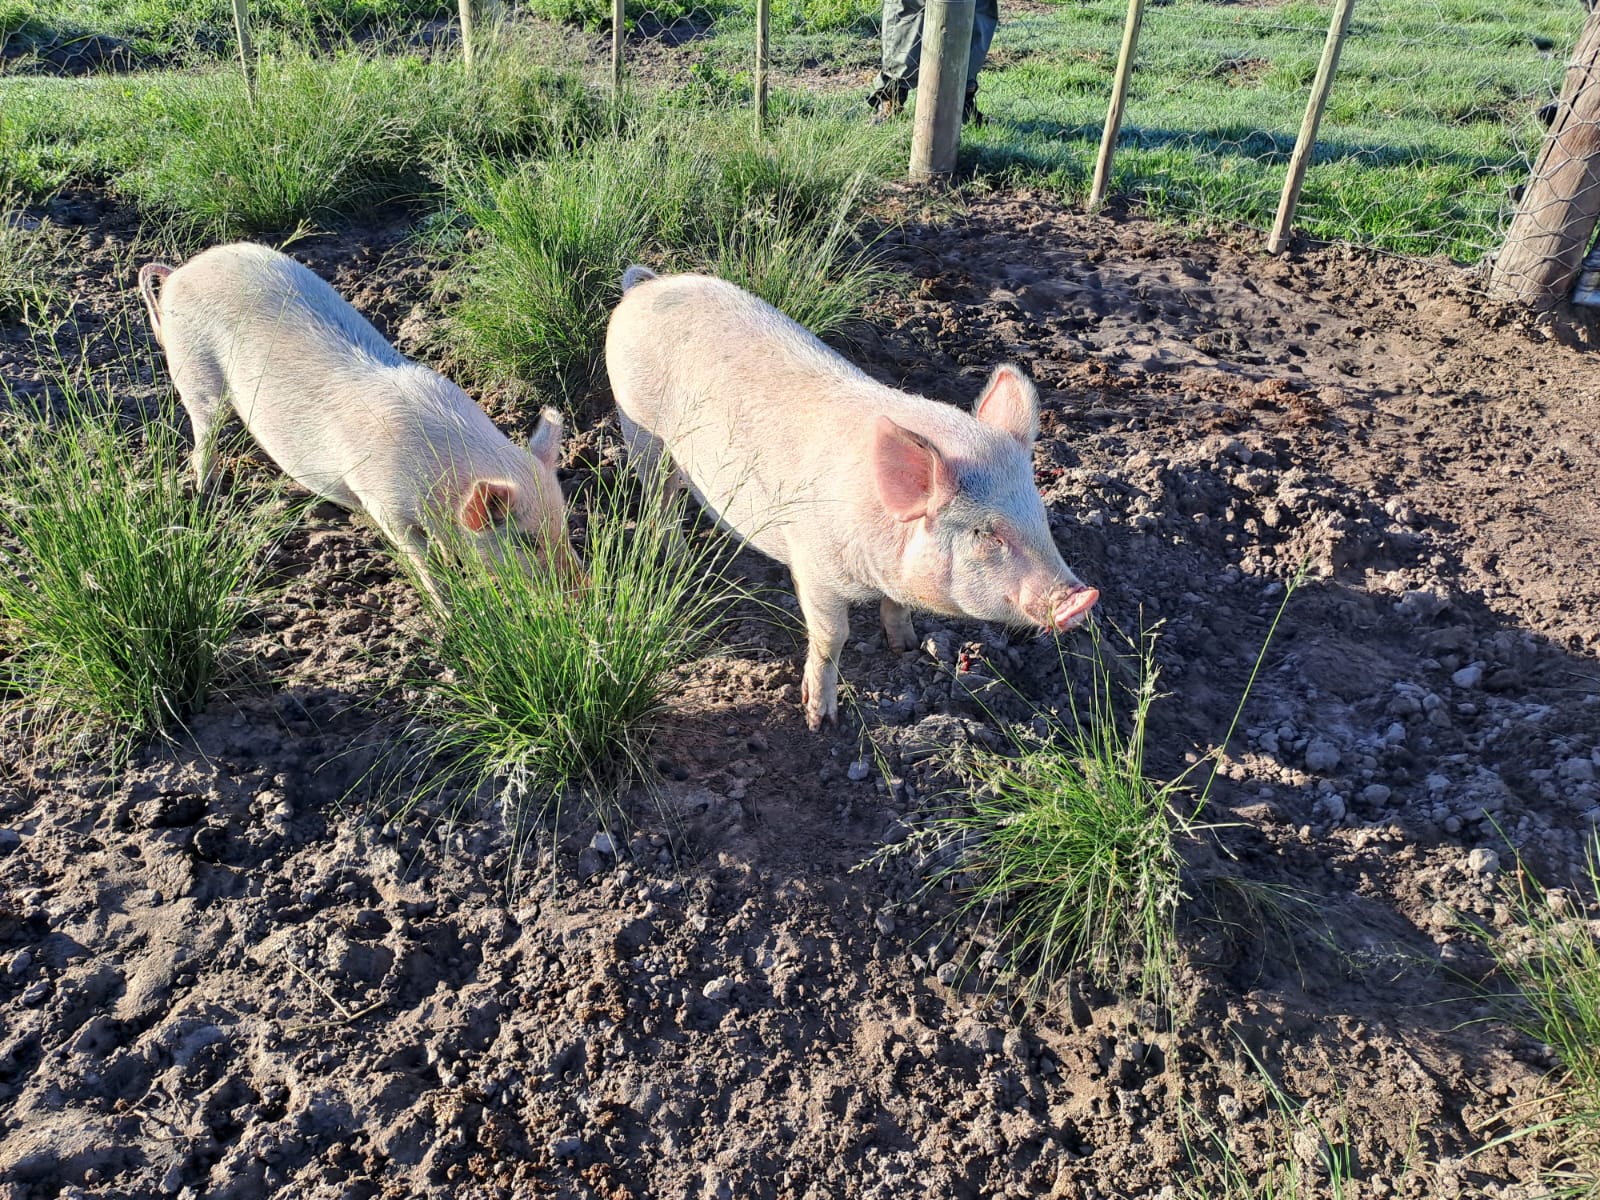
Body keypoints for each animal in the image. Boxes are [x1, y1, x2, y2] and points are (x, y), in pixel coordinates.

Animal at [138, 243, 579, 600]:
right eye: (525, 541)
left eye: (563, 523)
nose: (580, 591)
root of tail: (180, 272)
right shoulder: (384, 503)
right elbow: (421, 561)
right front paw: (448, 610)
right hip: (194, 370)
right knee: (203, 434)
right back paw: (207, 492)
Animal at [605, 266, 1098, 731]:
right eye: (987, 533)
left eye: (1040, 515)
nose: (1083, 597)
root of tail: (644, 287)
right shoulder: (814, 566)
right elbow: (831, 638)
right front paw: (820, 720)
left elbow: (897, 608)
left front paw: (907, 648)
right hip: (641, 432)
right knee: (661, 502)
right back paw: (681, 563)